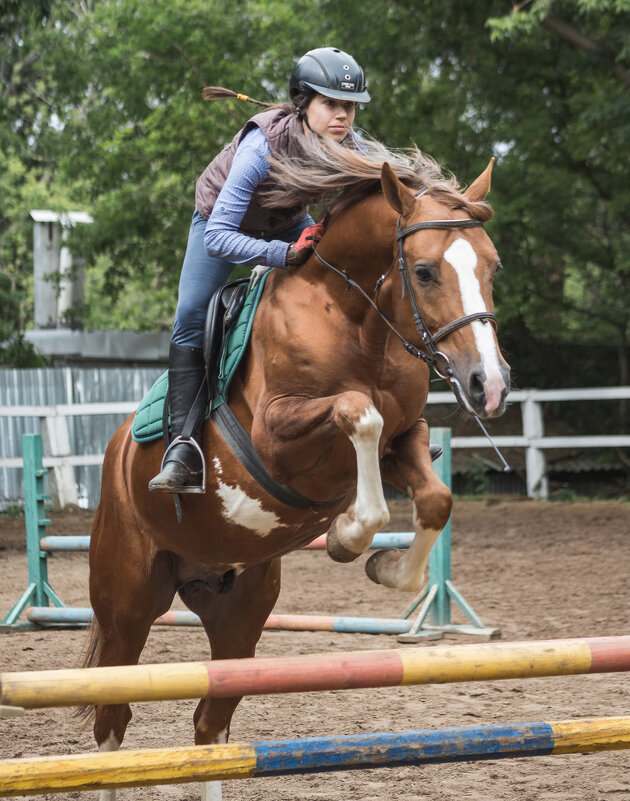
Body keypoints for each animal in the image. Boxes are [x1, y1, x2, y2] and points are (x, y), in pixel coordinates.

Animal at [85, 148, 508, 792]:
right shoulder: (277, 434)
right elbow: (357, 413)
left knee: (210, 725)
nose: (490, 385)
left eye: (492, 267)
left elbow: (434, 499)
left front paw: (380, 564)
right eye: (426, 272)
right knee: (111, 723)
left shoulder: (406, 439)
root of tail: (113, 463)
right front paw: (347, 535)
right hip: (127, 606)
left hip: (241, 611)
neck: (357, 318)